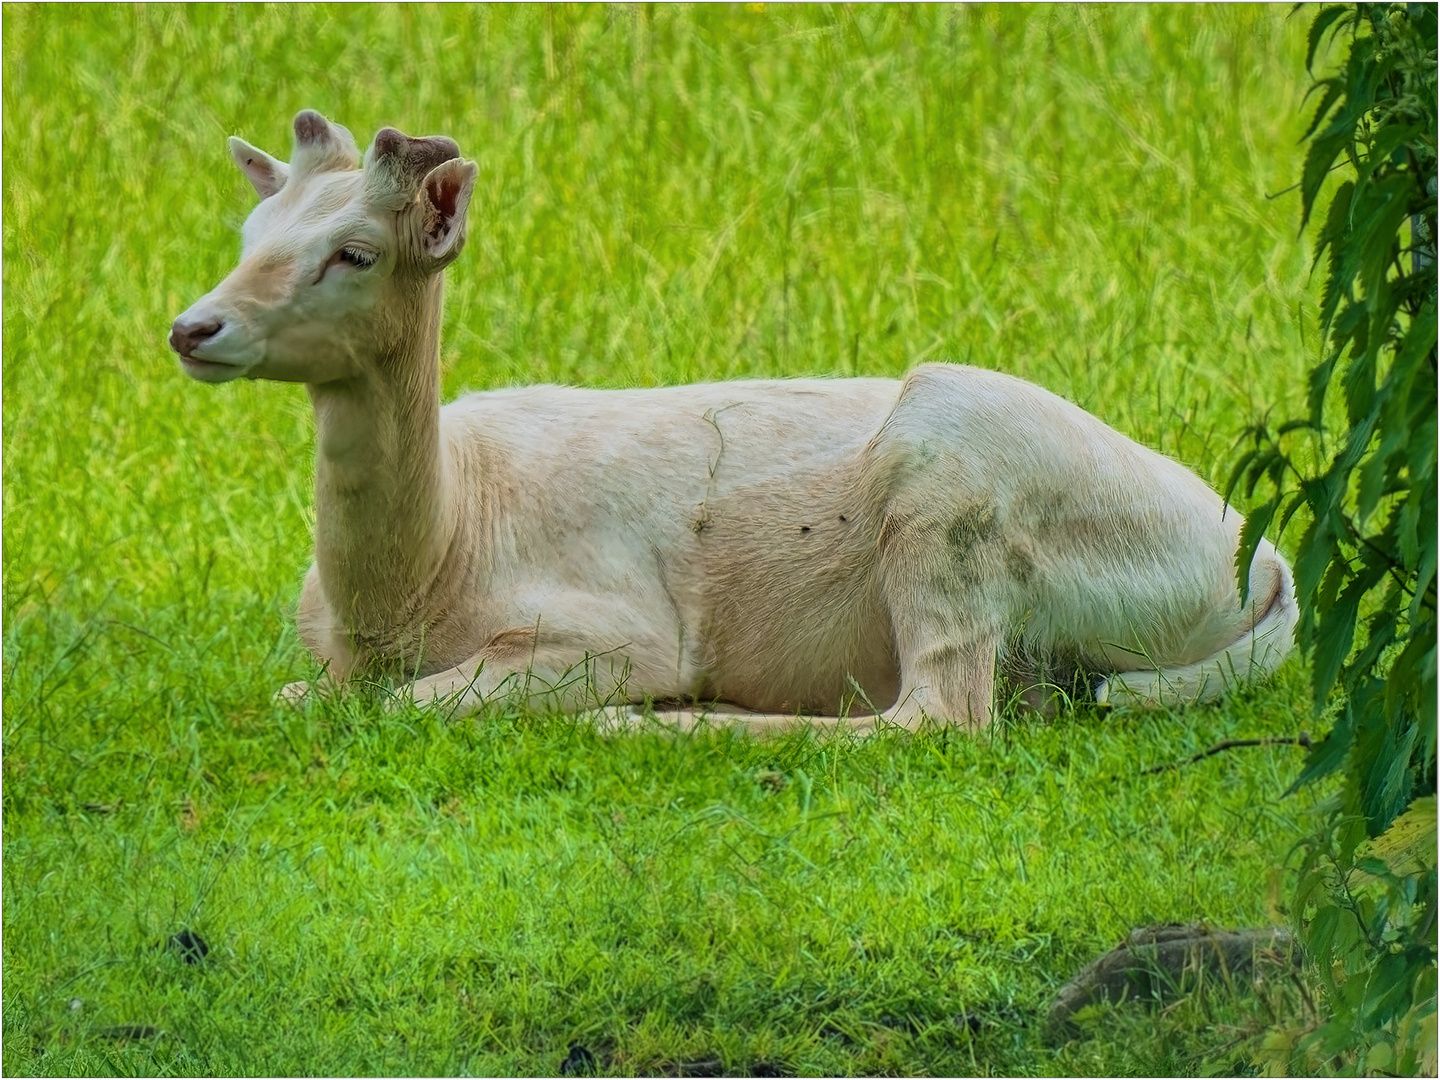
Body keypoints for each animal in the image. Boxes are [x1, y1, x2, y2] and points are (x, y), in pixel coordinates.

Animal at [165, 112, 1296, 737]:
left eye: (355, 252)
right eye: (250, 232)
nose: (191, 327)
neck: (431, 571)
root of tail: (1269, 565)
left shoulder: (613, 626)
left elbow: (402, 705)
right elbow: (297, 696)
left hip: (952, 472)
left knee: (938, 717)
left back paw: (648, 723)